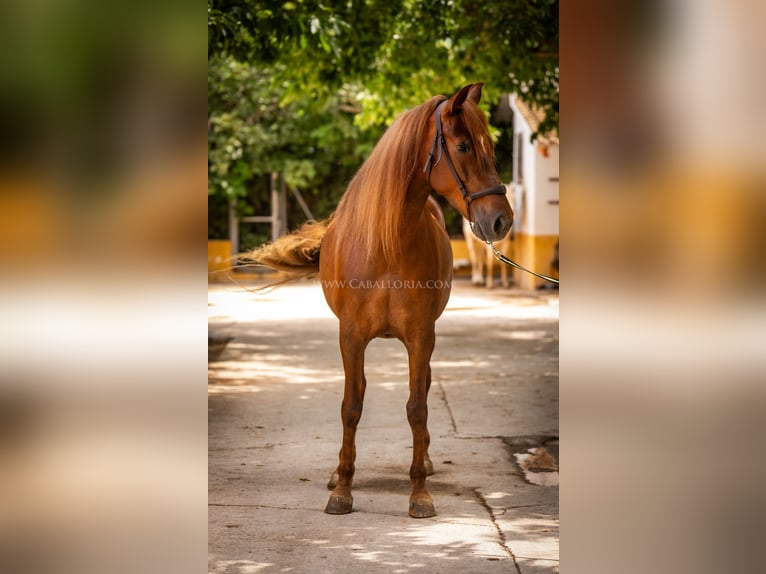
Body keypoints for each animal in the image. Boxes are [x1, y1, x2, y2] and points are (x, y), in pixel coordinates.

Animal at [246, 83, 516, 520]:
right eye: (462, 146)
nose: (501, 221)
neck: (387, 243)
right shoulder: (351, 336)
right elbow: (351, 406)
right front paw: (342, 489)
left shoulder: (421, 336)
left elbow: (417, 408)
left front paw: (419, 493)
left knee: (424, 389)